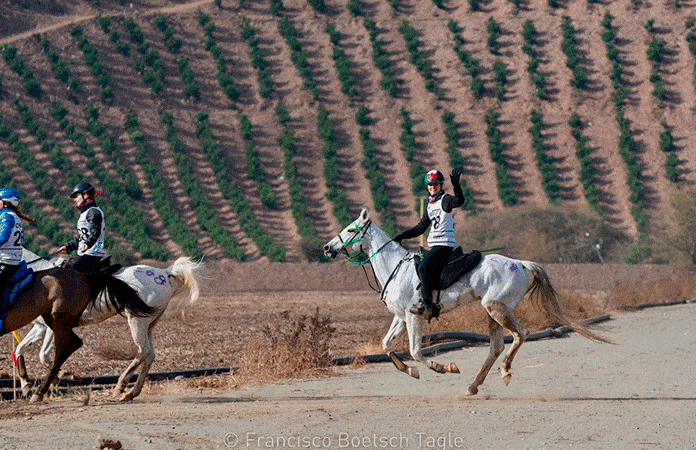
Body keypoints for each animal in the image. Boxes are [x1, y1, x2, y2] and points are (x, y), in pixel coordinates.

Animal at [15, 250, 204, 400]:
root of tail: (164, 273)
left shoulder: (52, 327)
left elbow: (43, 354)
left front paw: (65, 375)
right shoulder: (40, 327)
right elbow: (20, 349)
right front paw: (26, 385)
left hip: (137, 321)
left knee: (143, 352)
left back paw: (121, 386)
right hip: (149, 323)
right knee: (150, 355)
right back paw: (131, 393)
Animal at [322, 210, 608, 394]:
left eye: (351, 229)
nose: (327, 248)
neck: (396, 268)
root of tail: (520, 263)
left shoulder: (414, 316)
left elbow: (416, 351)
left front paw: (444, 367)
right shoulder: (401, 318)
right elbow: (387, 345)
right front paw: (411, 371)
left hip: (497, 309)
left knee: (522, 334)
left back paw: (504, 371)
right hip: (492, 313)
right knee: (495, 346)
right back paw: (473, 386)